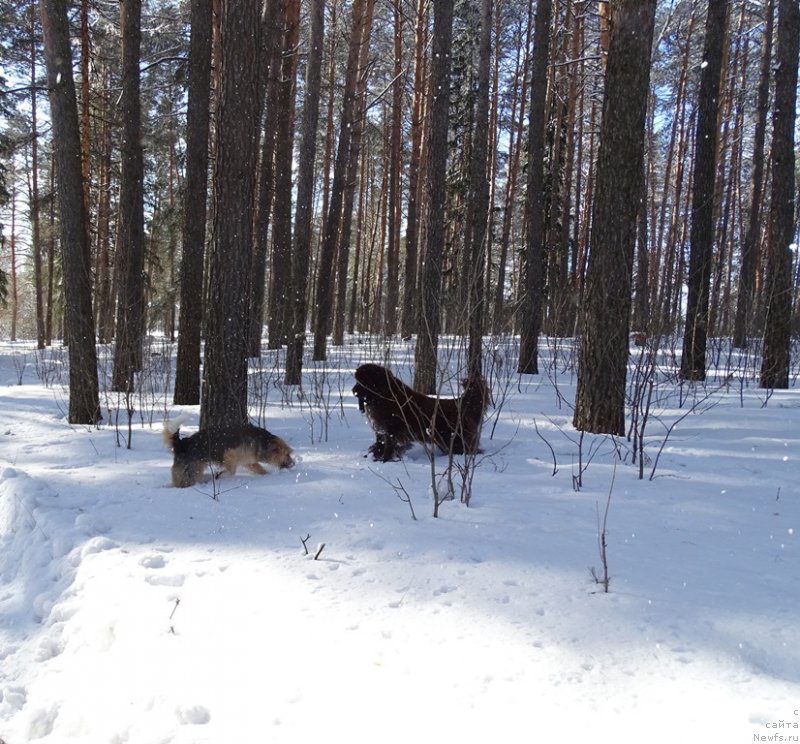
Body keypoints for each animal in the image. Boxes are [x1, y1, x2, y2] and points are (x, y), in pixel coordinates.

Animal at [162, 418, 294, 488]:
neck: (261, 442)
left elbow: (261, 470)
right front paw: (219, 475)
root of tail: (182, 444)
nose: (293, 464)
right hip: (191, 471)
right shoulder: (230, 455)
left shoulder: (249, 462)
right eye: (287, 454)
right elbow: (231, 471)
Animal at [354, 364, 490, 462]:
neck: (385, 395)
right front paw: (375, 456)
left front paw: (385, 460)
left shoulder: (391, 429)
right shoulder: (381, 429)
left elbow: (388, 445)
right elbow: (379, 443)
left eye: (363, 381)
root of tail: (461, 402)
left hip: (455, 439)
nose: (353, 391)